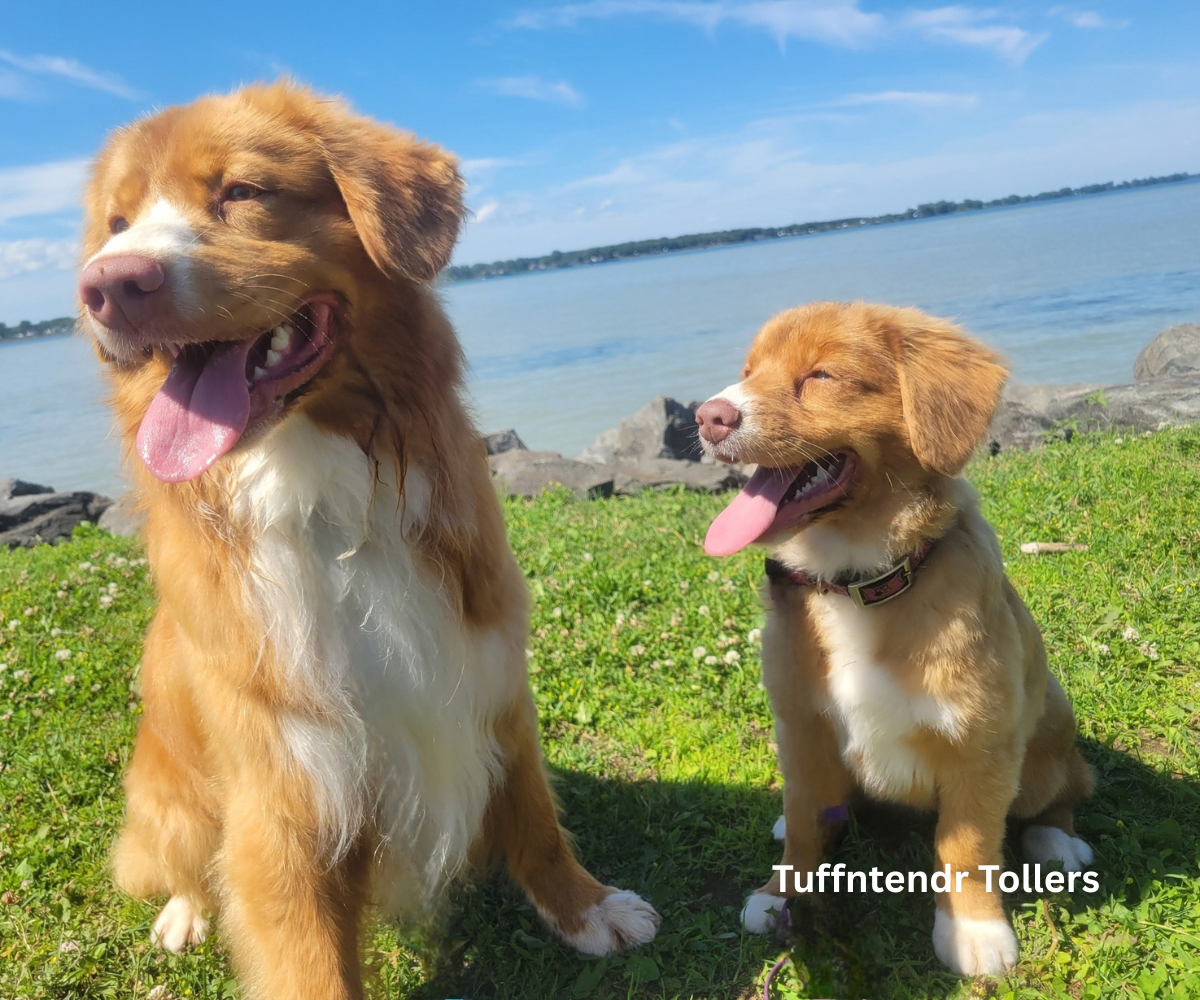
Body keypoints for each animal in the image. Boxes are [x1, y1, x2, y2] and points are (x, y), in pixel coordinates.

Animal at [78, 82, 659, 999]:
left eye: (241, 191)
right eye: (117, 222)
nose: (105, 284)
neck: (321, 496)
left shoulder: (491, 683)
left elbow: (534, 814)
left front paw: (586, 908)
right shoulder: (286, 801)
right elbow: (307, 963)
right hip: (170, 804)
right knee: (177, 864)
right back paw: (184, 912)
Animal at [695, 301, 1093, 976]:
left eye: (821, 375)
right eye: (748, 372)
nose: (707, 416)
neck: (857, 582)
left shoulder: (979, 745)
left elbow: (966, 844)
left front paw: (974, 931)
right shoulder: (801, 729)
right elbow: (804, 827)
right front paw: (778, 894)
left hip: (1048, 729)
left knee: (1064, 787)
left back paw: (1058, 839)